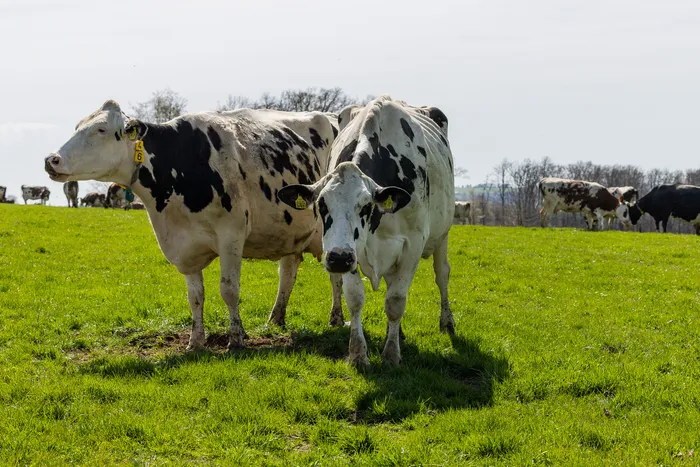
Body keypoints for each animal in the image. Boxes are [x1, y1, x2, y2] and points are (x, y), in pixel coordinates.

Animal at [45, 99, 340, 350]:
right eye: (77, 126)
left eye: (101, 129)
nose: (51, 160)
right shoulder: (184, 246)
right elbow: (195, 296)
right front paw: (196, 342)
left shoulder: (231, 236)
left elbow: (229, 290)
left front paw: (236, 339)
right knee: (288, 272)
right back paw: (276, 318)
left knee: (335, 274)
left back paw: (336, 318)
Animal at [277, 95, 455, 367]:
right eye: (321, 204)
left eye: (366, 206)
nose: (338, 258)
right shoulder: (353, 251)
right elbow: (355, 297)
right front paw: (358, 354)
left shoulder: (412, 244)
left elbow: (396, 300)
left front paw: (391, 355)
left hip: (442, 235)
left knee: (442, 274)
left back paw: (447, 322)